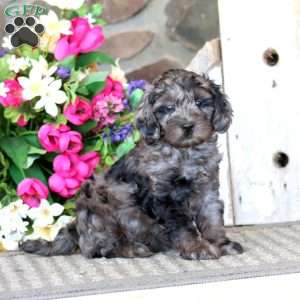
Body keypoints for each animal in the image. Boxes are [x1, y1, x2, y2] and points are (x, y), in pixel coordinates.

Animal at [21, 69, 243, 258]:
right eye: (168, 108)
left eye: (200, 102)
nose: (188, 126)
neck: (184, 152)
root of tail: (76, 227)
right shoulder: (163, 196)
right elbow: (182, 225)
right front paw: (197, 248)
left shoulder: (207, 187)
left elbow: (211, 217)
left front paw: (221, 244)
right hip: (101, 209)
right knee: (101, 248)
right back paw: (135, 249)